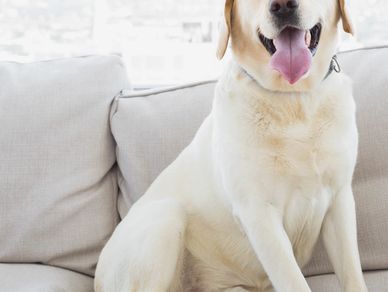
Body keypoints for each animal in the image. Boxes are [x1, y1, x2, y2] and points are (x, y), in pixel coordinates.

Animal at [94, 0, 366, 290]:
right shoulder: (257, 212)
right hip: (165, 218)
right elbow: (293, 281)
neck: (292, 99)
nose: (282, 5)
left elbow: (352, 274)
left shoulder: (339, 199)